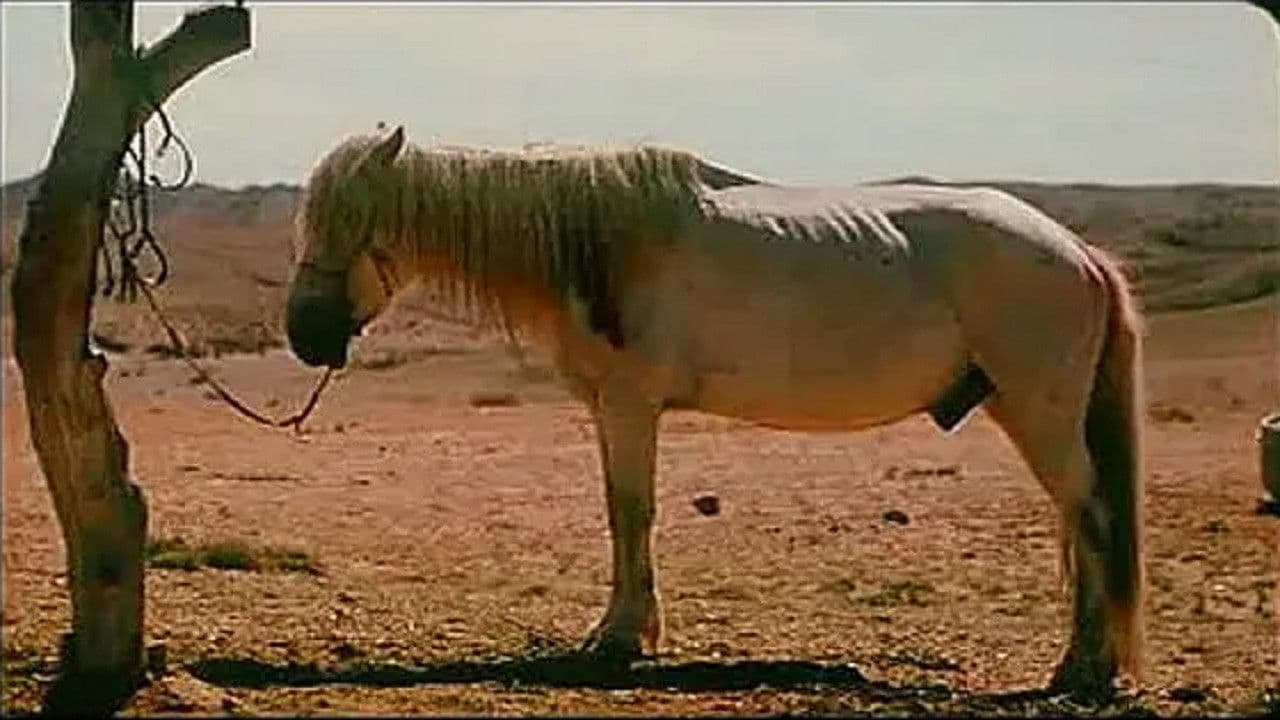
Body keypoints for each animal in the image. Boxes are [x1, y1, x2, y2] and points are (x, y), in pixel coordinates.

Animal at [284, 125, 1145, 699]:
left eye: (356, 222)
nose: (304, 334)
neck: (598, 241)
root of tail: (1075, 251)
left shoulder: (631, 405)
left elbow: (631, 511)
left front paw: (618, 640)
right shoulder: (611, 409)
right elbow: (621, 512)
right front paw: (626, 631)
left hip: (1039, 412)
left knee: (1091, 515)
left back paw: (1082, 669)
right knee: (1080, 521)